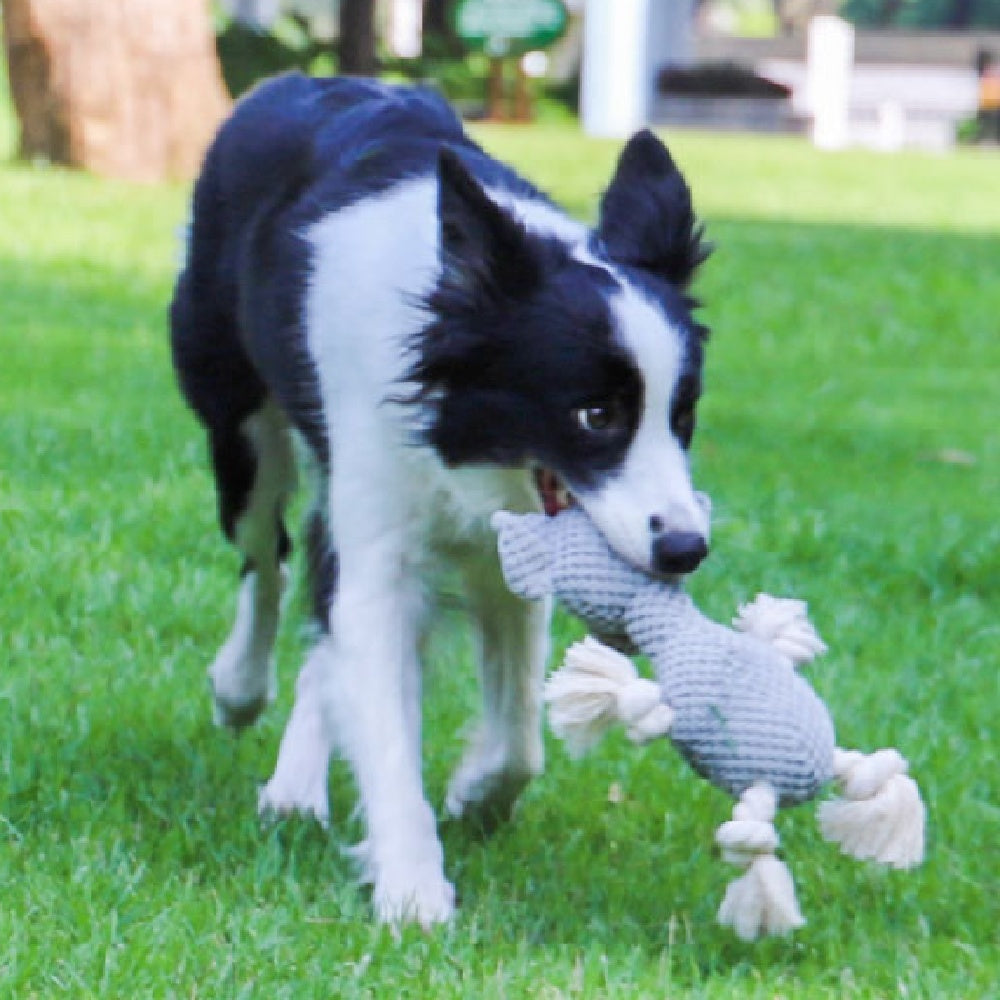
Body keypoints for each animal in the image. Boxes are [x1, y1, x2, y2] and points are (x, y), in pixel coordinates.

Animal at [170, 74, 712, 924]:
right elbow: (384, 714)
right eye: (595, 415)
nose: (686, 549)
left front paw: (476, 796)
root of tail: (292, 83)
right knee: (269, 557)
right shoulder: (379, 526)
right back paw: (240, 692)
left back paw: (294, 786)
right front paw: (414, 893)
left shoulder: (506, 554)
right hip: (237, 422)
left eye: (682, 418)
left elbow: (519, 736)